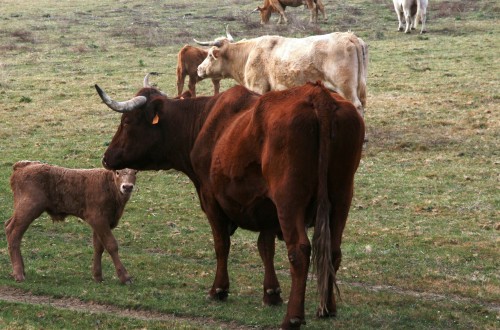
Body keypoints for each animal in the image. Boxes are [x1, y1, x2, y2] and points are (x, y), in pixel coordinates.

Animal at [4, 161, 138, 284]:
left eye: (135, 172)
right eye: (117, 172)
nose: (127, 187)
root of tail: (24, 164)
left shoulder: (100, 223)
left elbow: (98, 247)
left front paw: (97, 276)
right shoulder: (98, 219)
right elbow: (111, 245)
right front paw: (125, 277)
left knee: (10, 228)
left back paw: (21, 270)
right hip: (28, 209)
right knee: (13, 232)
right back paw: (18, 273)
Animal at [95, 75, 366, 330]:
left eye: (127, 122)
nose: (106, 157)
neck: (204, 122)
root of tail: (317, 95)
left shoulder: (211, 198)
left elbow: (221, 244)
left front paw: (219, 289)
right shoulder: (266, 207)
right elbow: (265, 247)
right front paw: (271, 293)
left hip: (289, 201)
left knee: (299, 251)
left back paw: (293, 318)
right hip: (341, 197)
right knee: (333, 250)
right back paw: (327, 308)